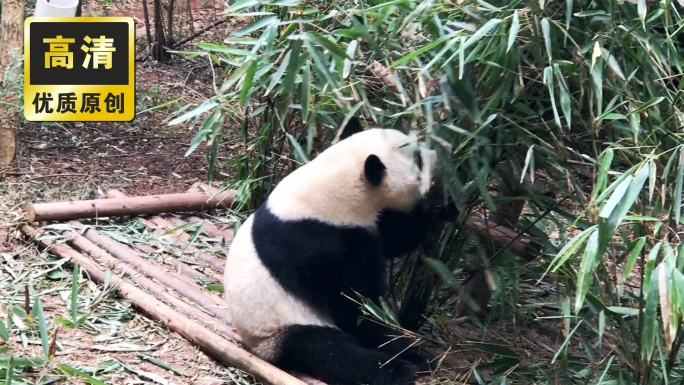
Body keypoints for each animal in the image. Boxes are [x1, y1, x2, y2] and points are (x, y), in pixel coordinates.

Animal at [224, 116, 438, 384]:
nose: (434, 155)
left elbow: (396, 240)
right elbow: (355, 305)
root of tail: (260, 350)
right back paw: (398, 368)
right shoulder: (321, 244)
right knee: (329, 350)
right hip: (281, 325)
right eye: (417, 158)